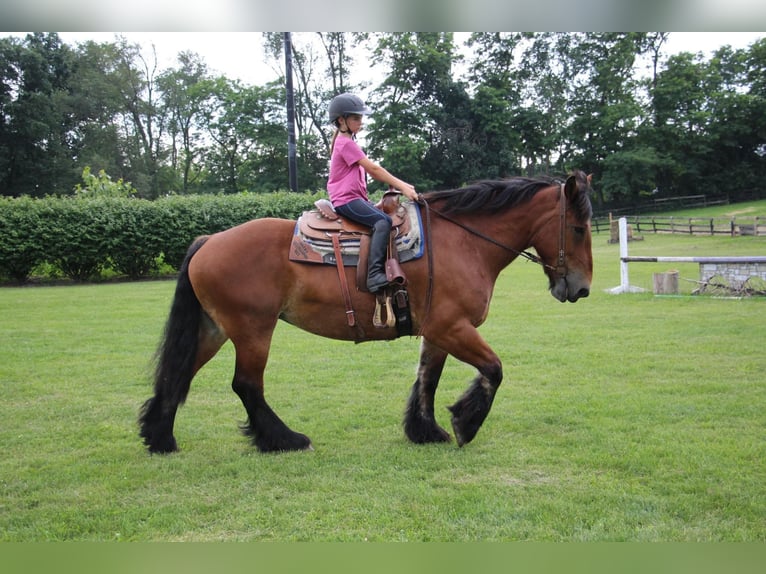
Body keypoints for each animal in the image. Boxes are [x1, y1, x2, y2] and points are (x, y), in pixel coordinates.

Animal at [136, 170, 592, 454]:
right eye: (577, 228)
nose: (582, 288)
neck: (462, 242)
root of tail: (210, 240)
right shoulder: (453, 327)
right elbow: (494, 370)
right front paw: (466, 423)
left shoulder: (438, 332)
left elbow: (427, 380)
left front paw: (425, 431)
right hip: (252, 330)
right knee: (247, 385)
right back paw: (284, 440)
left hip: (215, 329)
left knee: (178, 374)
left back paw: (160, 438)